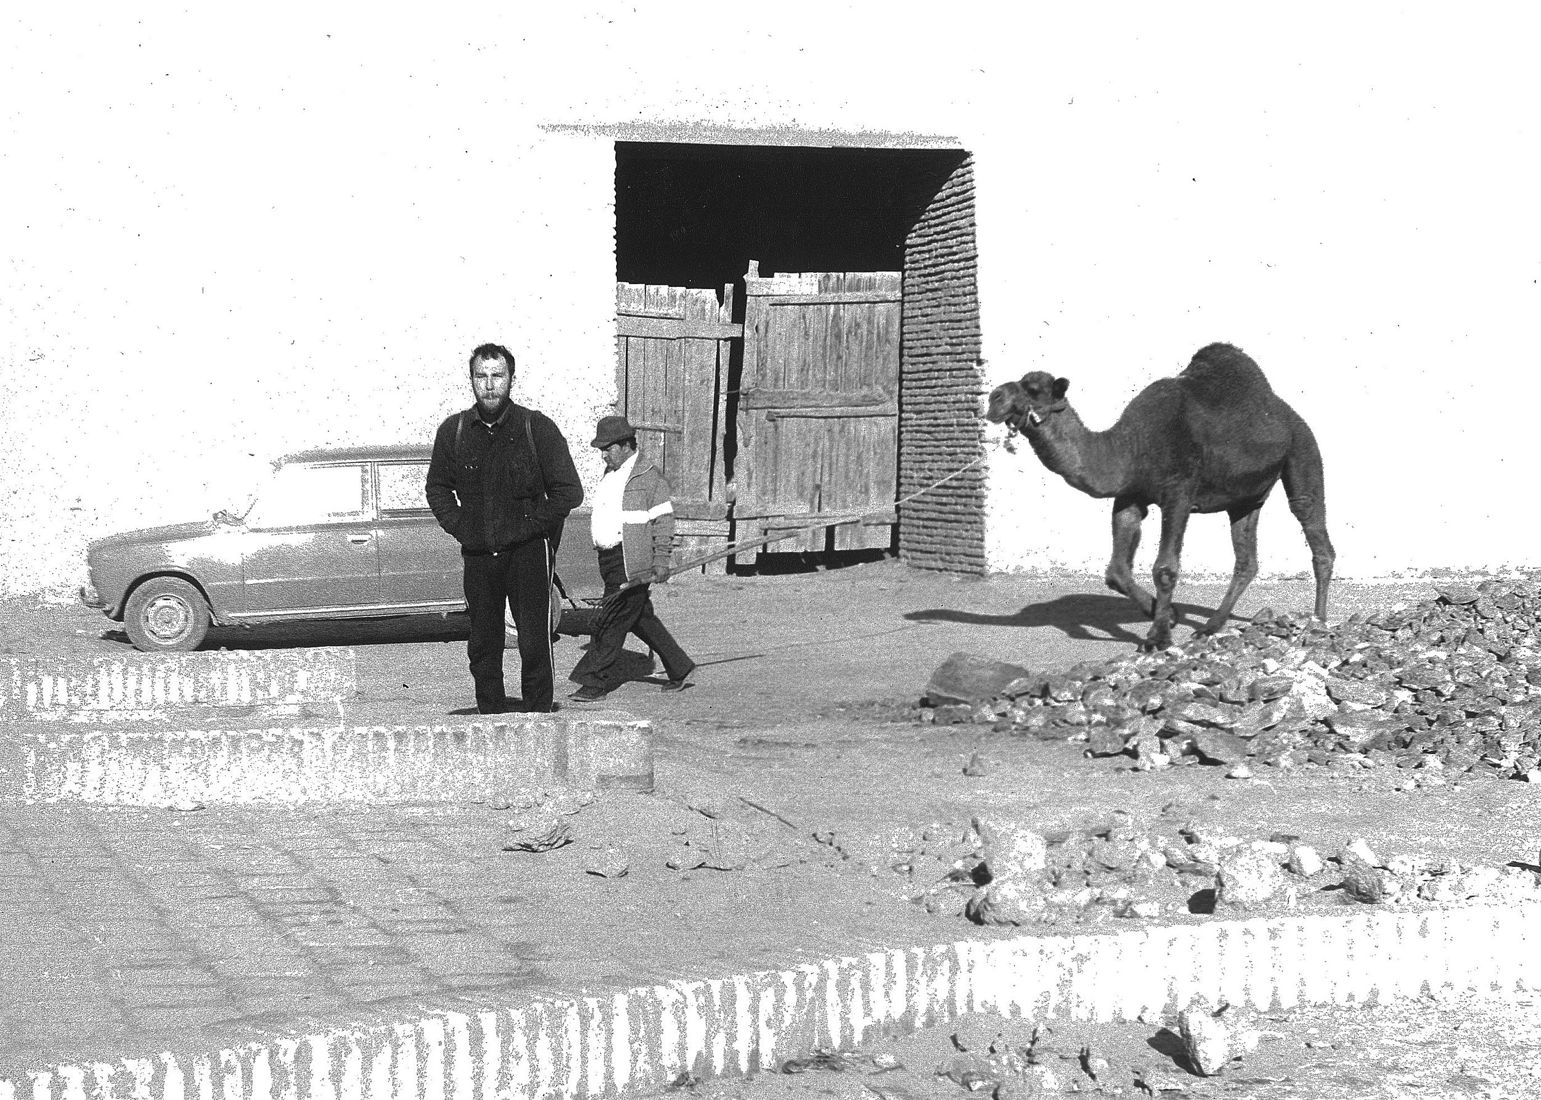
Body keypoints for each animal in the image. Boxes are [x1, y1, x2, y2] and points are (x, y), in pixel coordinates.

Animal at [985, 342, 1334, 649]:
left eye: (1033, 389)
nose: (993, 397)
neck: (1131, 445)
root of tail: (1285, 411)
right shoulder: (1130, 497)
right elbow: (1116, 571)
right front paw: (1169, 615)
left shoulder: (1178, 493)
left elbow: (1164, 568)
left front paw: (1157, 638)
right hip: (1245, 497)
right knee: (1246, 559)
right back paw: (1209, 627)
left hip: (1303, 448)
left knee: (1314, 528)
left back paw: (1317, 622)